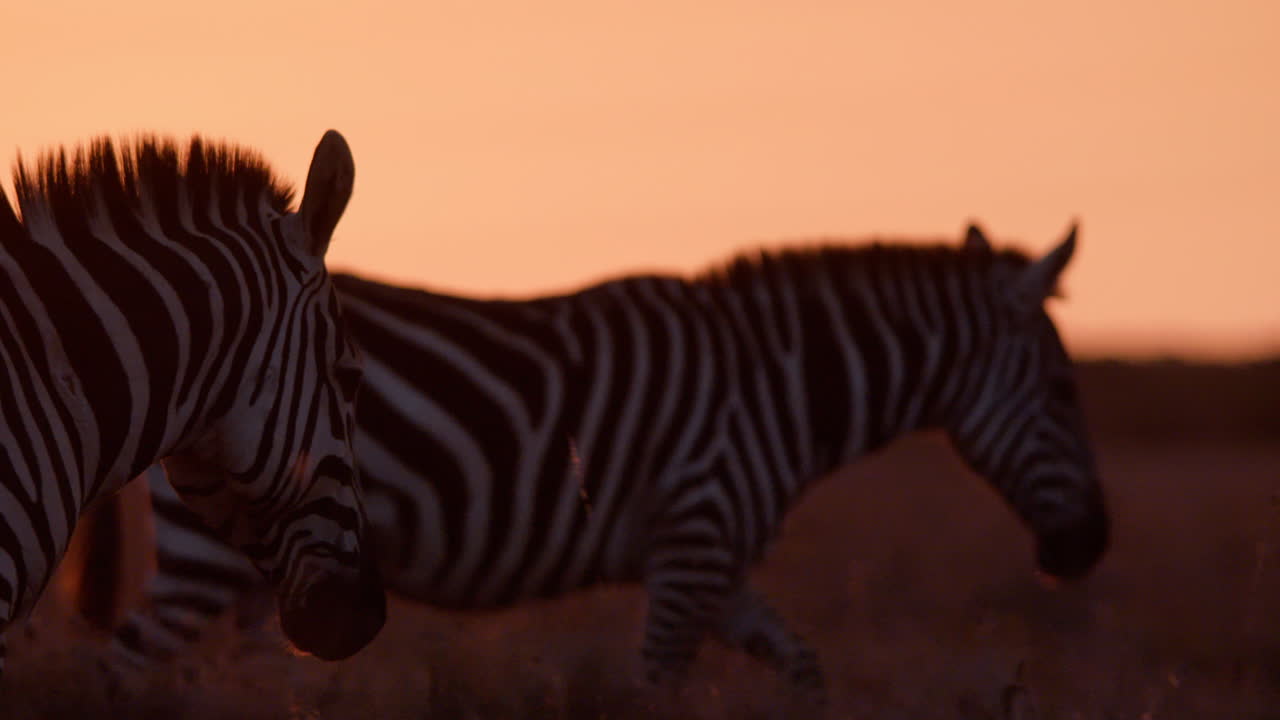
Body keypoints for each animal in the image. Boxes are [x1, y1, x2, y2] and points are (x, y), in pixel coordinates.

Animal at [86, 223, 1108, 703]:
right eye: (1065, 393)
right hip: (206, 560)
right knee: (120, 667)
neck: (776, 381)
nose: (1090, 550)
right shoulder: (692, 542)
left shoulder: (717, 563)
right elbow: (654, 692)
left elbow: (805, 667)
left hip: (269, 570)